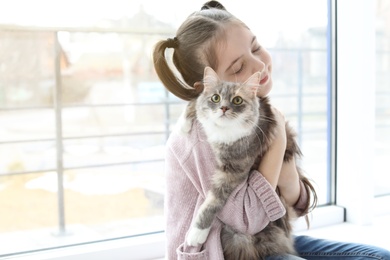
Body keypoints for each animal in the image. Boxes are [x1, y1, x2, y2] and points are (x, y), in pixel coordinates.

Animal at [178, 66, 304, 258]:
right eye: (215, 98)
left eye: (237, 100)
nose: (223, 108)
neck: (223, 132)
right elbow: (195, 101)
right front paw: (183, 124)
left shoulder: (232, 171)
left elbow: (213, 202)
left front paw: (197, 233)